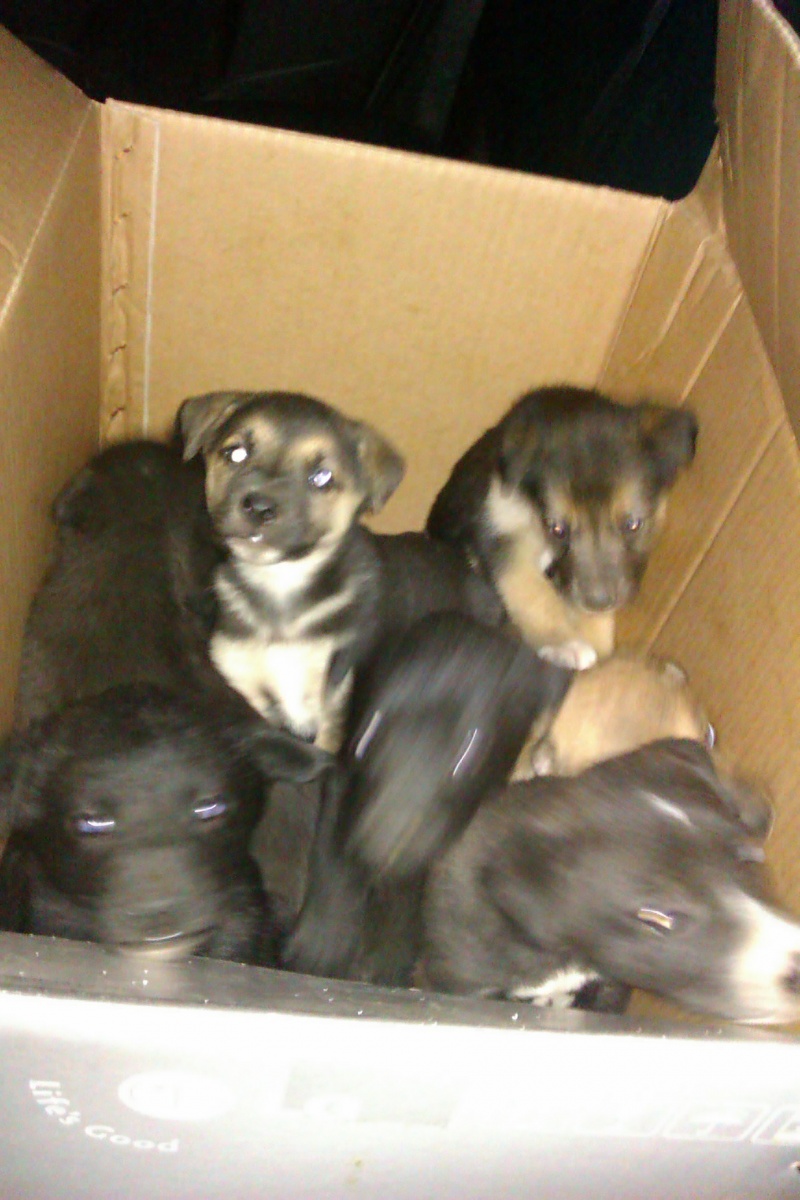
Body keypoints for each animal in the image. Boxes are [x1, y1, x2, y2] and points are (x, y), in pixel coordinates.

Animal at [179, 390, 406, 752]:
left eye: (322, 477)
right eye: (236, 453)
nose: (259, 508)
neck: (280, 584)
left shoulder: (330, 691)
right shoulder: (238, 673)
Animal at [426, 386, 698, 667]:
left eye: (632, 524)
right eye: (558, 529)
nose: (598, 603)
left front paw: (598, 647)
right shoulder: (499, 527)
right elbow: (531, 592)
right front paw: (564, 643)